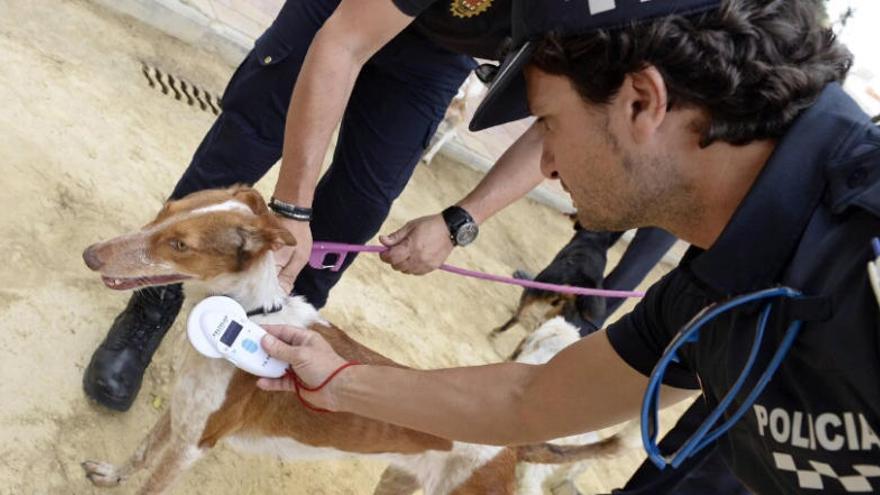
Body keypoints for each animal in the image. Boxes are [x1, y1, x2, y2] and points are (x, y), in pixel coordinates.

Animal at [82, 187, 628, 495]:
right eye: (166, 210)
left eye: (180, 245)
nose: (91, 254)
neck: (246, 315)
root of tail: (514, 446)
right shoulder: (180, 415)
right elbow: (139, 455)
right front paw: (111, 475)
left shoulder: (195, 444)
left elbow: (151, 484)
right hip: (399, 483)